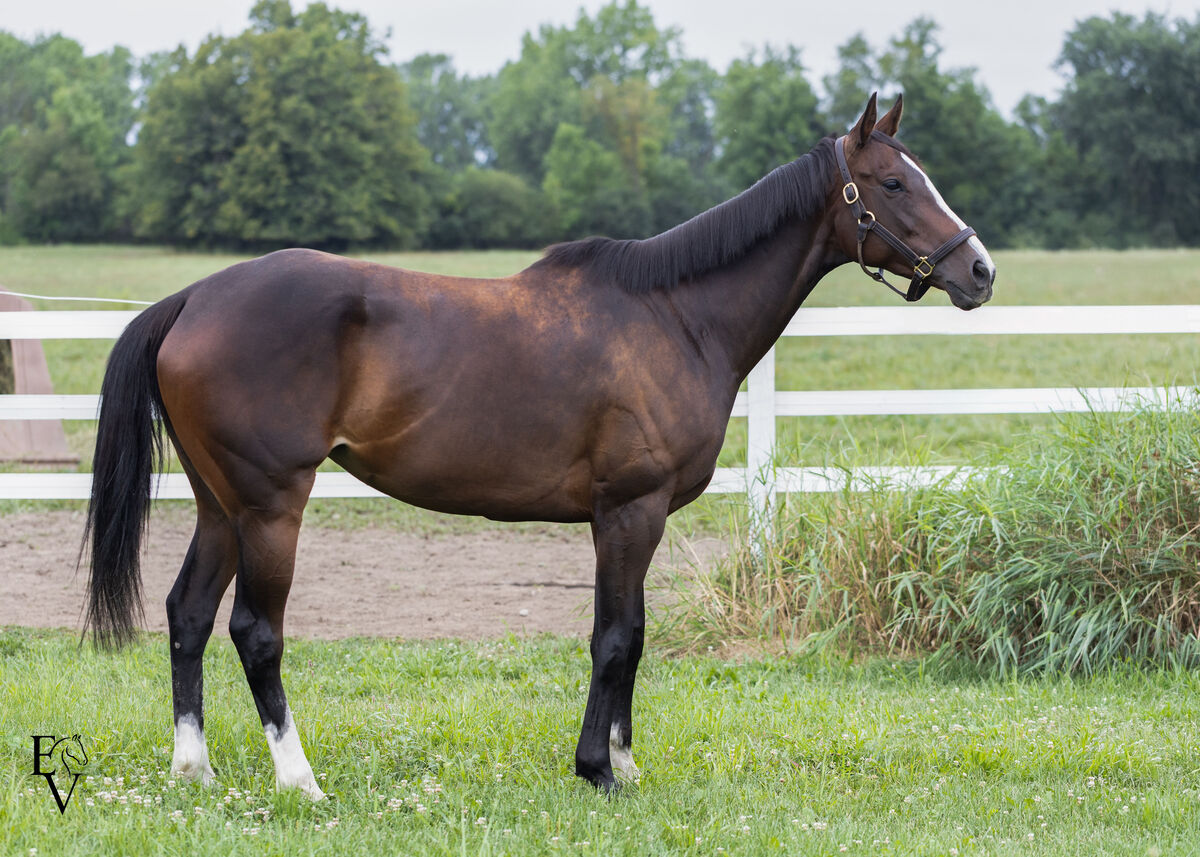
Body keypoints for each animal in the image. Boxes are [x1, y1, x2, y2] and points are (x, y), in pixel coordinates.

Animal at [83, 94, 995, 797]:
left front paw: (620, 760)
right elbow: (616, 637)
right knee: (255, 632)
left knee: (188, 615)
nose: (980, 270)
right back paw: (299, 779)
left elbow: (630, 634)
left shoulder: (627, 518)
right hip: (272, 505)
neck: (676, 315)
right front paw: (601, 768)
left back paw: (193, 770)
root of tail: (194, 299)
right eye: (891, 182)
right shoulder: (630, 511)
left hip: (220, 506)